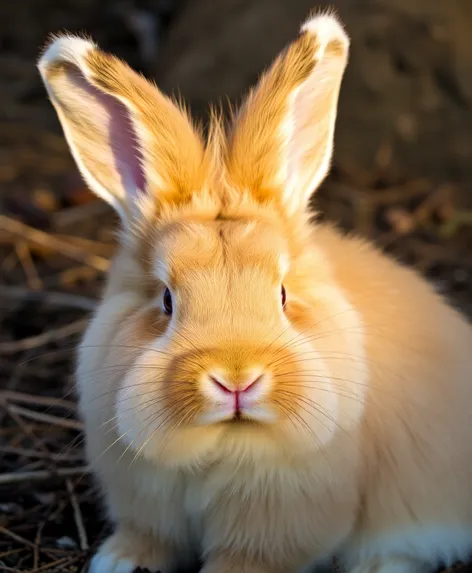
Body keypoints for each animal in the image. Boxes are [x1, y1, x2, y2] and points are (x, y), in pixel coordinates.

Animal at [37, 8, 472, 572]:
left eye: (283, 295)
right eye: (166, 300)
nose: (236, 380)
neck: (222, 441)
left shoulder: (279, 519)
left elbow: (249, 557)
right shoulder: (144, 499)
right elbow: (149, 535)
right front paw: (121, 561)